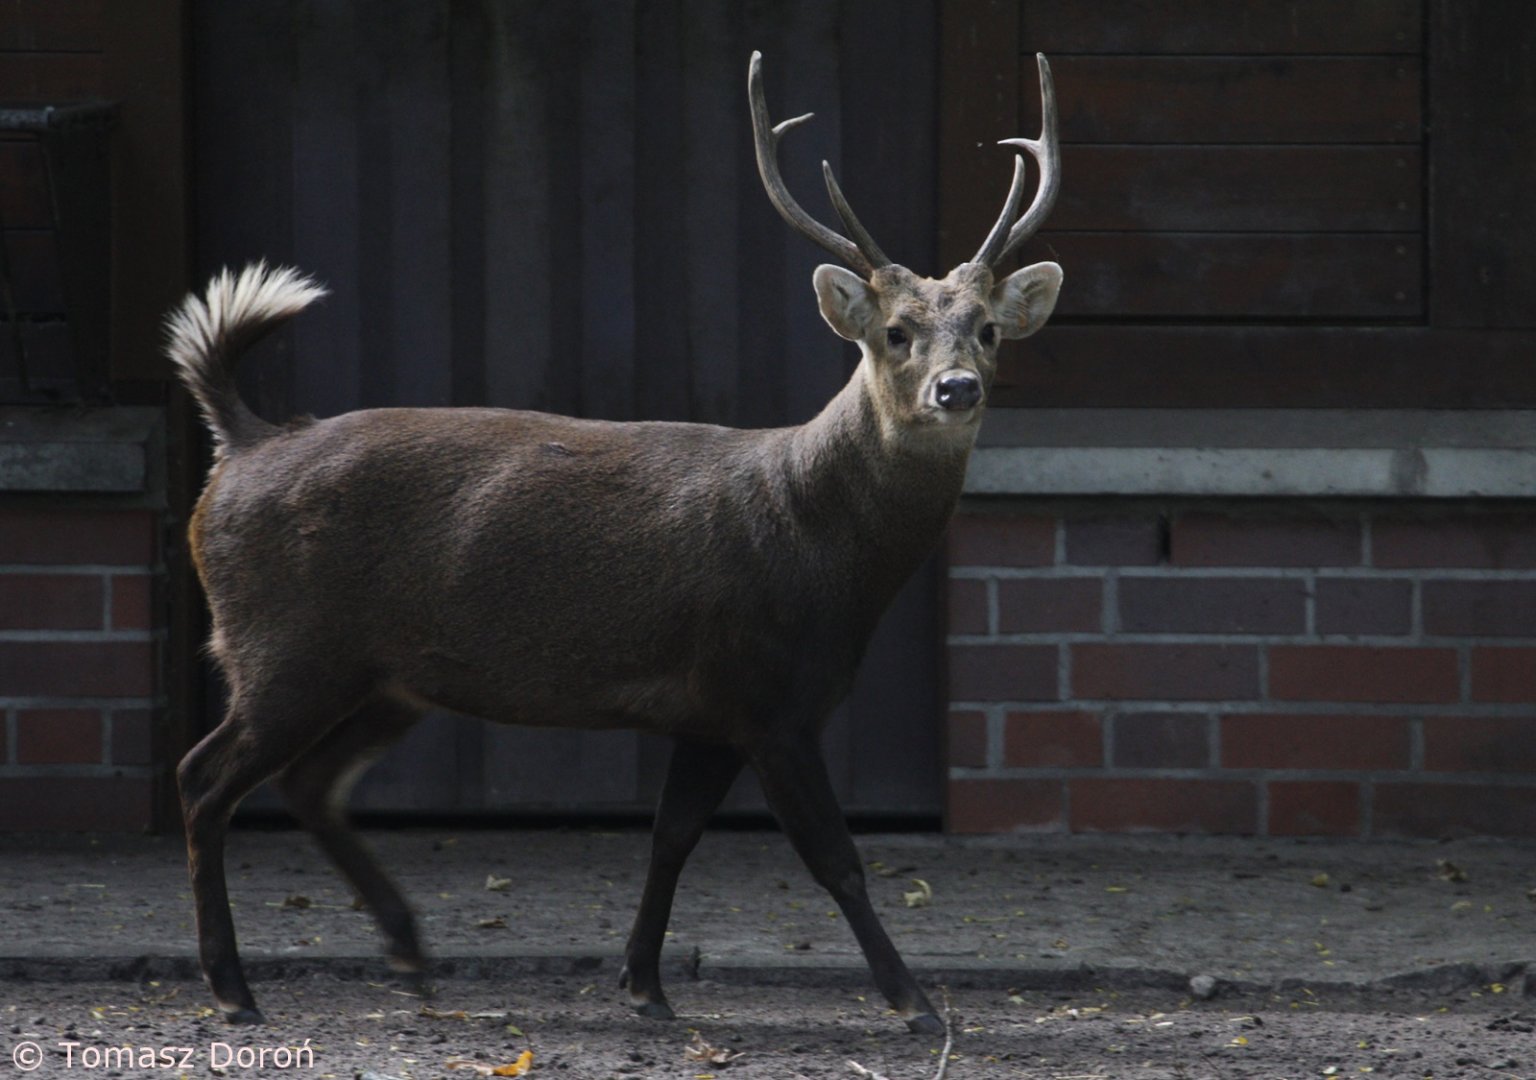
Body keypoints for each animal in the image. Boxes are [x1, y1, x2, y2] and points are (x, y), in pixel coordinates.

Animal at [167, 51, 1061, 1035]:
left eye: (987, 329)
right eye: (896, 332)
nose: (956, 388)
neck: (818, 553)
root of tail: (242, 443)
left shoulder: (709, 711)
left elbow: (671, 838)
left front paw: (644, 984)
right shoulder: (768, 696)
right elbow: (836, 859)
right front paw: (916, 1003)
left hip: (383, 673)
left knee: (311, 784)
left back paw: (409, 953)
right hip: (282, 645)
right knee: (204, 777)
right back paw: (233, 987)